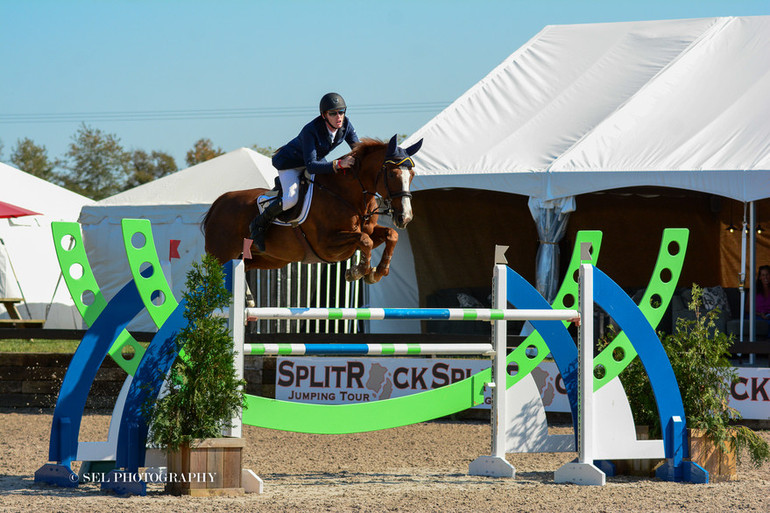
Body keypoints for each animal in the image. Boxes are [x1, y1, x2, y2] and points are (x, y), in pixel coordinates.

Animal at [201, 134, 424, 284]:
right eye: (393, 174)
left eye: (412, 174)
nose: (405, 217)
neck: (348, 195)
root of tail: (218, 203)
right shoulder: (327, 245)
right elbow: (365, 240)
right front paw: (357, 271)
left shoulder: (367, 232)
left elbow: (390, 235)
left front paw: (377, 272)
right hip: (221, 256)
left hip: (268, 260)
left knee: (244, 267)